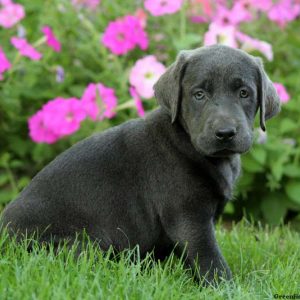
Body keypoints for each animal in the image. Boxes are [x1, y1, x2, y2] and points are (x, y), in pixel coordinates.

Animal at [0, 44, 282, 284]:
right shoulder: (189, 216)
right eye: (199, 95)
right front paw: (225, 287)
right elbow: (208, 257)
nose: (225, 133)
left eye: (244, 93)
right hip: (81, 243)